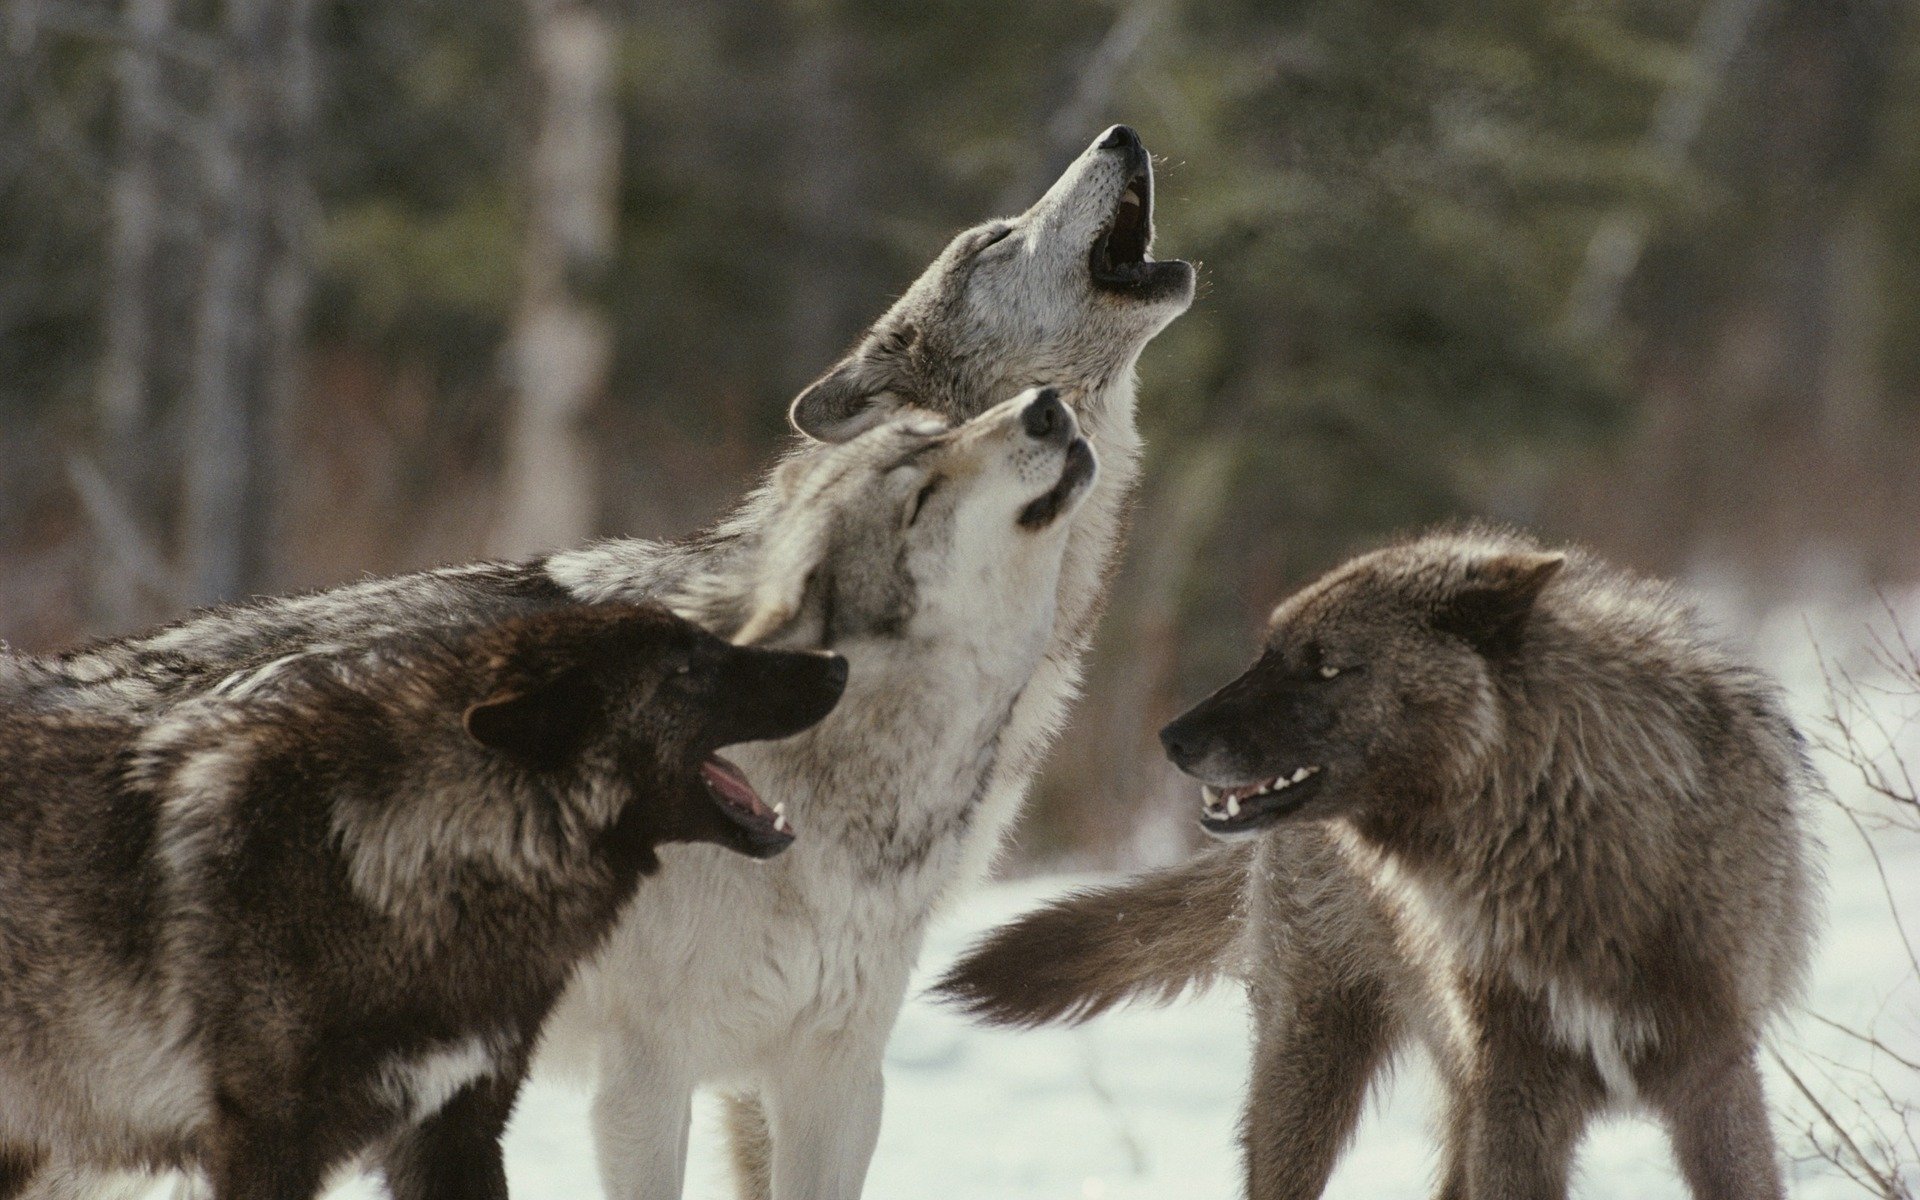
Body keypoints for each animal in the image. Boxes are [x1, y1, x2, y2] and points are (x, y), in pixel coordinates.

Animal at [938, 528, 1820, 1200]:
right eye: (1268, 652)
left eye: (1327, 664)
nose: (1172, 738)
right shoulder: (1519, 1096)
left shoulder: (1714, 1077)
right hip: (1312, 1068)